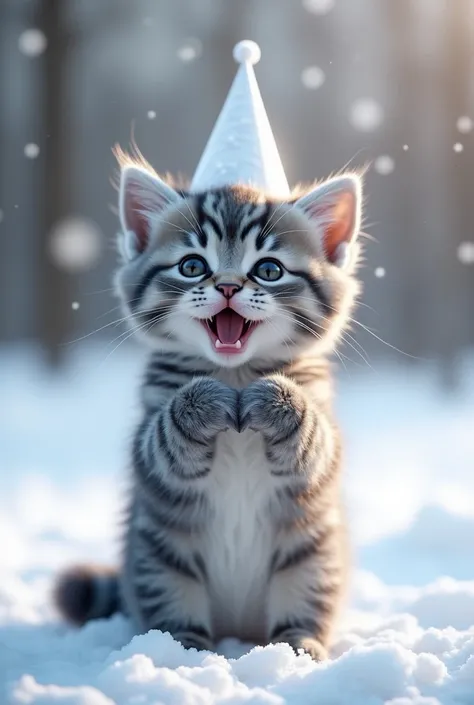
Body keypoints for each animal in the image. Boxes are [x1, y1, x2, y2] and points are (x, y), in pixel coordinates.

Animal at [55, 153, 364, 660]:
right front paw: (204, 402)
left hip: (315, 556)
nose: (228, 287)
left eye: (269, 270)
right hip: (160, 558)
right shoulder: (150, 445)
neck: (235, 373)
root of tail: (237, 629)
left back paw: (297, 649)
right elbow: (166, 438)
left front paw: (275, 400)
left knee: (303, 606)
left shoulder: (324, 443)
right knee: (174, 608)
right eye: (193, 266)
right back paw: (182, 654)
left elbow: (313, 438)